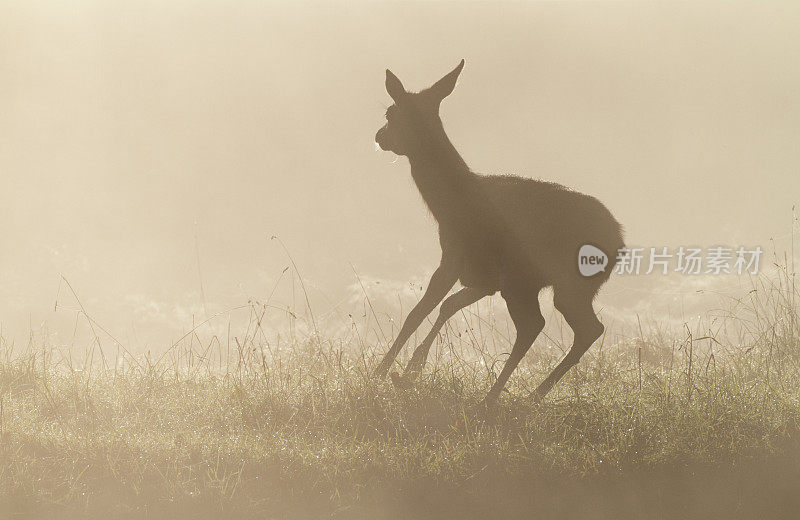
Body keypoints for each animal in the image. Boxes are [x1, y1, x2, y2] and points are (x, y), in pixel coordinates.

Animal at [374, 61, 624, 408]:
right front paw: (412, 369)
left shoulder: (454, 256)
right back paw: (529, 395)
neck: (449, 208)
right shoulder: (484, 280)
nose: (379, 136)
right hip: (562, 285)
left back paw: (496, 398)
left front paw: (383, 372)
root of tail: (620, 242)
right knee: (586, 328)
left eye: (390, 112)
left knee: (540, 325)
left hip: (539, 281)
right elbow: (448, 305)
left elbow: (419, 310)